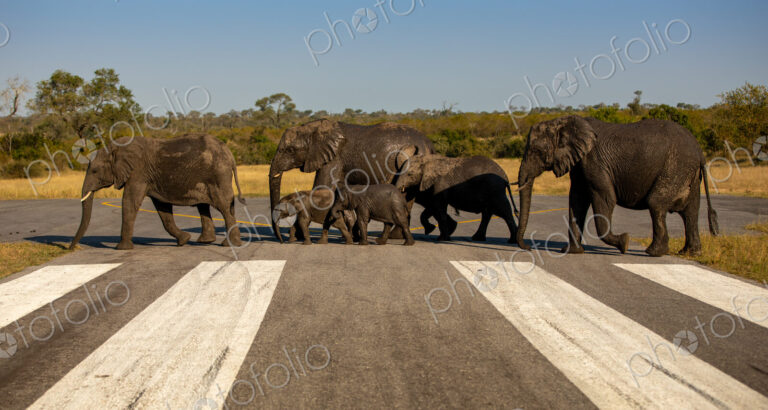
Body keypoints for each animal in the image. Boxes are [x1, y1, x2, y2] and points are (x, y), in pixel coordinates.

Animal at [69, 134, 245, 250]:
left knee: (224, 206)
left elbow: (129, 202)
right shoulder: (151, 178)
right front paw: (183, 240)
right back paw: (204, 241)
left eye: (94, 171)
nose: (71, 248)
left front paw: (121, 248)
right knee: (204, 206)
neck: (117, 147)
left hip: (218, 175)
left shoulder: (138, 173)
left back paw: (229, 245)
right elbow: (163, 209)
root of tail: (230, 154)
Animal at [269, 119, 434, 243]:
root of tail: (429, 144)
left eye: (289, 150)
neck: (313, 128)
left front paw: (298, 237)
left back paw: (393, 237)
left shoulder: (334, 159)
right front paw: (352, 235)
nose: (280, 239)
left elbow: (321, 188)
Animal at [515, 115, 718, 257]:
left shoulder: (595, 162)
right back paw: (690, 253)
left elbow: (605, 198)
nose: (528, 247)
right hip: (688, 173)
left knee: (657, 204)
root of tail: (699, 151)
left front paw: (624, 243)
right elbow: (577, 201)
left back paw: (654, 252)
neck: (563, 122)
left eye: (536, 151)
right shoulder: (580, 164)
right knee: (690, 211)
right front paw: (571, 251)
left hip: (675, 167)